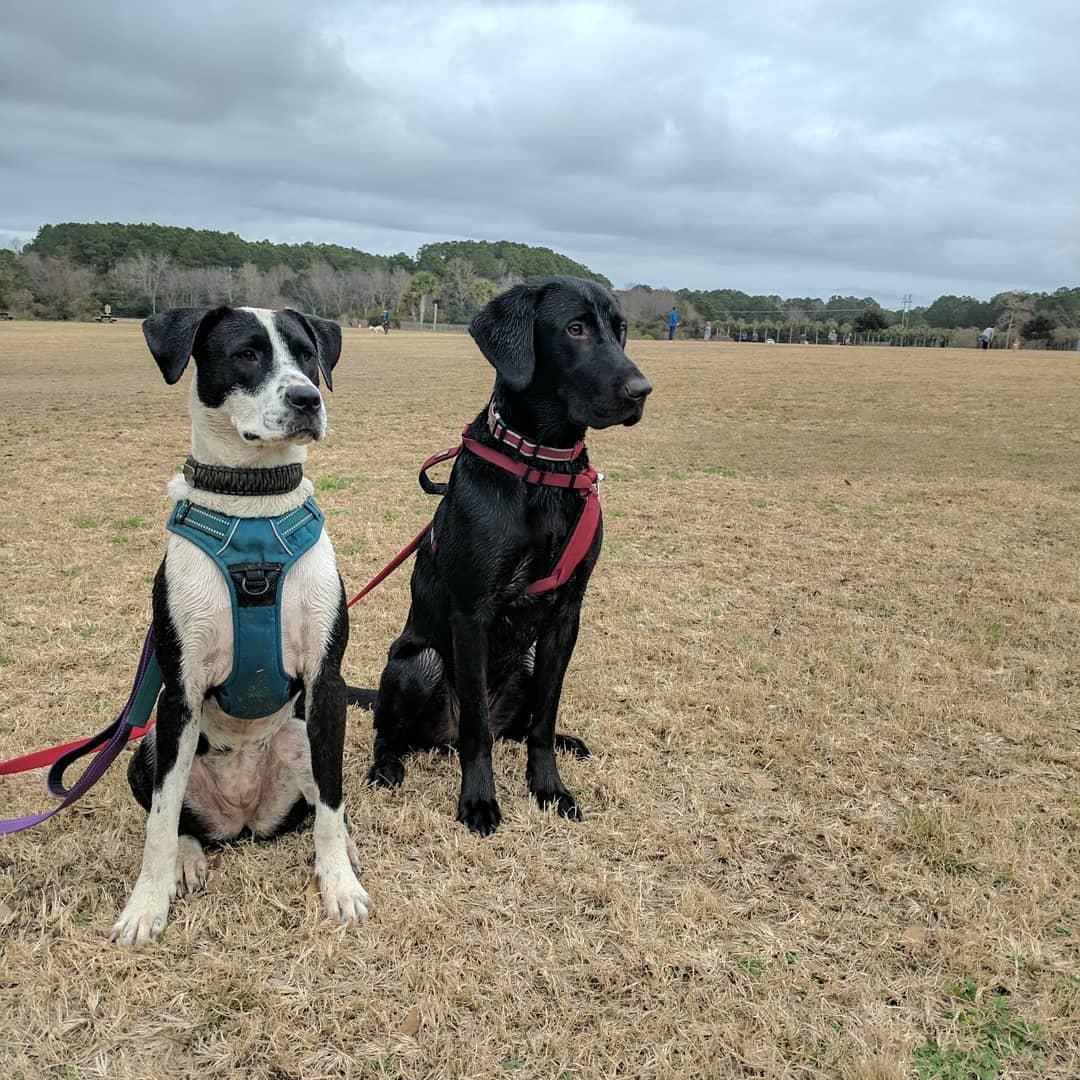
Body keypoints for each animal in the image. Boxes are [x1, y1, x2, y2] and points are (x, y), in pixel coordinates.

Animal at [111, 304, 369, 946]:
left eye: (307, 354)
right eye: (247, 354)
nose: (307, 398)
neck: (253, 508)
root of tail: (244, 817)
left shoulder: (327, 684)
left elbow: (332, 802)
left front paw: (340, 884)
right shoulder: (178, 691)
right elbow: (160, 818)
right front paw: (145, 906)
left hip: (297, 735)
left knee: (319, 804)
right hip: (147, 745)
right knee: (179, 815)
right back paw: (187, 858)